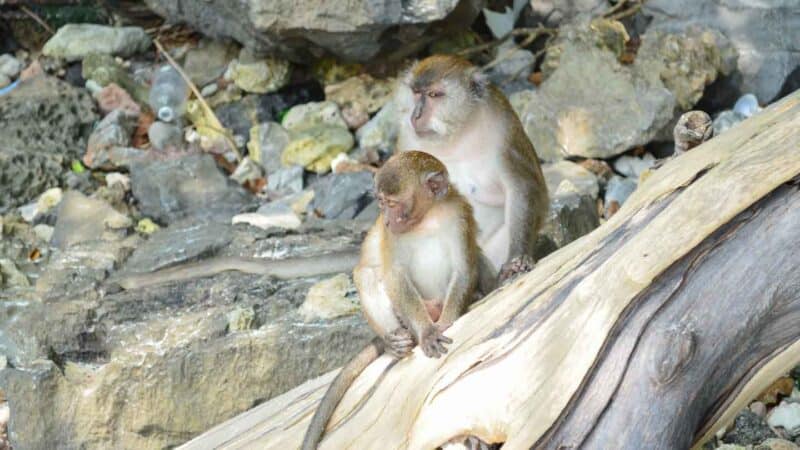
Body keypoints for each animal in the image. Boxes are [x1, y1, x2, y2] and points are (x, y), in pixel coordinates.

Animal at [300, 151, 494, 450]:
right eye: (381, 203)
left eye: (393, 204)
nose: (388, 220)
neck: (427, 218)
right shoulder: (393, 238)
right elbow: (395, 275)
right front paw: (427, 333)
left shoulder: (459, 214)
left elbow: (464, 268)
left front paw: (448, 321)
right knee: (368, 274)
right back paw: (396, 341)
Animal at [396, 54, 552, 284]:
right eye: (416, 93)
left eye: (434, 95)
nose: (415, 115)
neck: (457, 136)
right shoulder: (406, 140)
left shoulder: (504, 131)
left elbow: (520, 188)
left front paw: (517, 258)